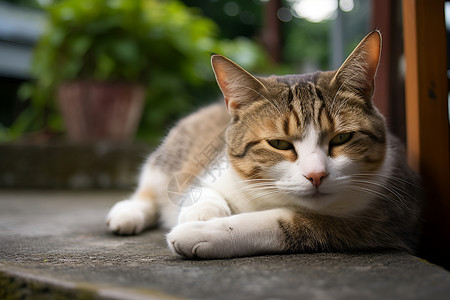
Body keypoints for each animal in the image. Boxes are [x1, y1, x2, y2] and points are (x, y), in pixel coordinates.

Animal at [105, 31, 422, 260]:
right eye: (279, 143)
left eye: (341, 139)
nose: (316, 175)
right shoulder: (213, 172)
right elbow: (201, 191)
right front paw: (202, 213)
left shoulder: (379, 219)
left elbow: (284, 222)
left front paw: (202, 231)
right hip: (171, 155)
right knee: (150, 188)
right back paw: (128, 213)